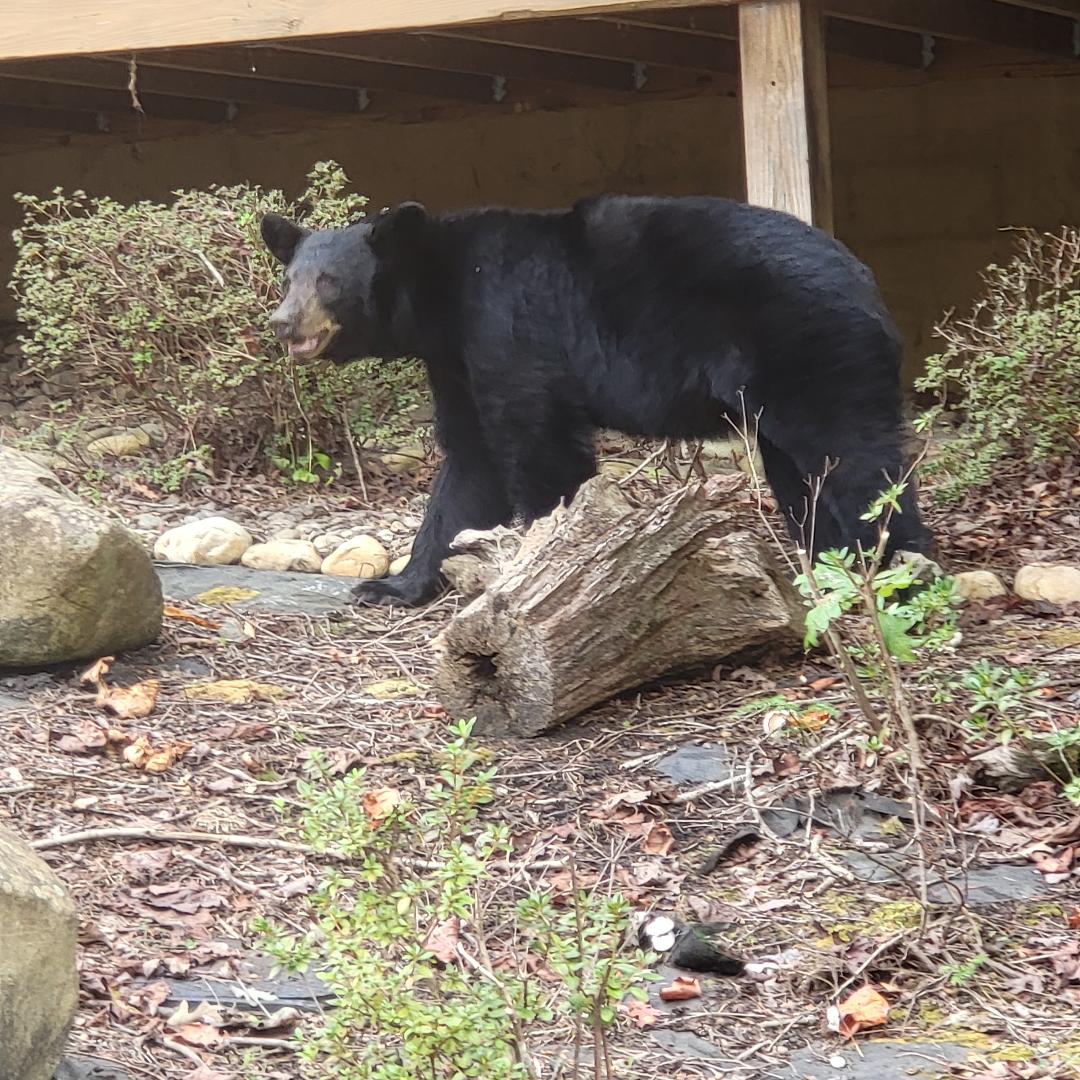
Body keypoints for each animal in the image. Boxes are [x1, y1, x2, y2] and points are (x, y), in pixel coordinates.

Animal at [259, 195, 928, 613]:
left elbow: (537, 448)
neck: (441, 294)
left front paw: (543, 565)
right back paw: (829, 567)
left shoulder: (507, 327)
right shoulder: (455, 362)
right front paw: (395, 585)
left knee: (855, 461)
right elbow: (469, 465)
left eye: (329, 282)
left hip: (809, 347)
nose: (282, 323)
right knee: (802, 477)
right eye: (288, 278)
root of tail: (867, 281)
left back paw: (898, 576)